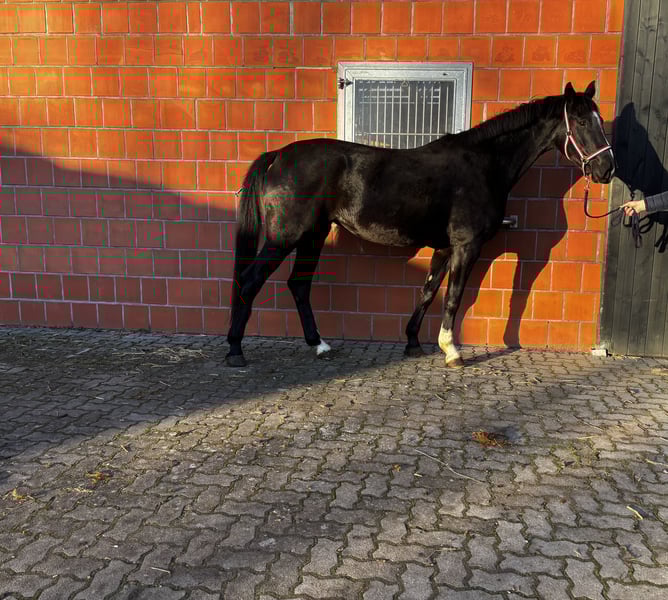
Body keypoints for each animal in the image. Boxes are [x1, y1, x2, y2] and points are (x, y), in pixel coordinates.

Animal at [225, 81, 615, 368]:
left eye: (599, 120)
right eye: (582, 122)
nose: (606, 168)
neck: (484, 164)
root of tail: (278, 156)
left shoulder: (444, 247)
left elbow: (429, 292)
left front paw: (413, 341)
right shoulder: (466, 246)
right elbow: (455, 297)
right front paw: (452, 351)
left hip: (313, 236)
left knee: (298, 285)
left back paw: (318, 344)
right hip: (284, 237)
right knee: (251, 280)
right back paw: (235, 350)